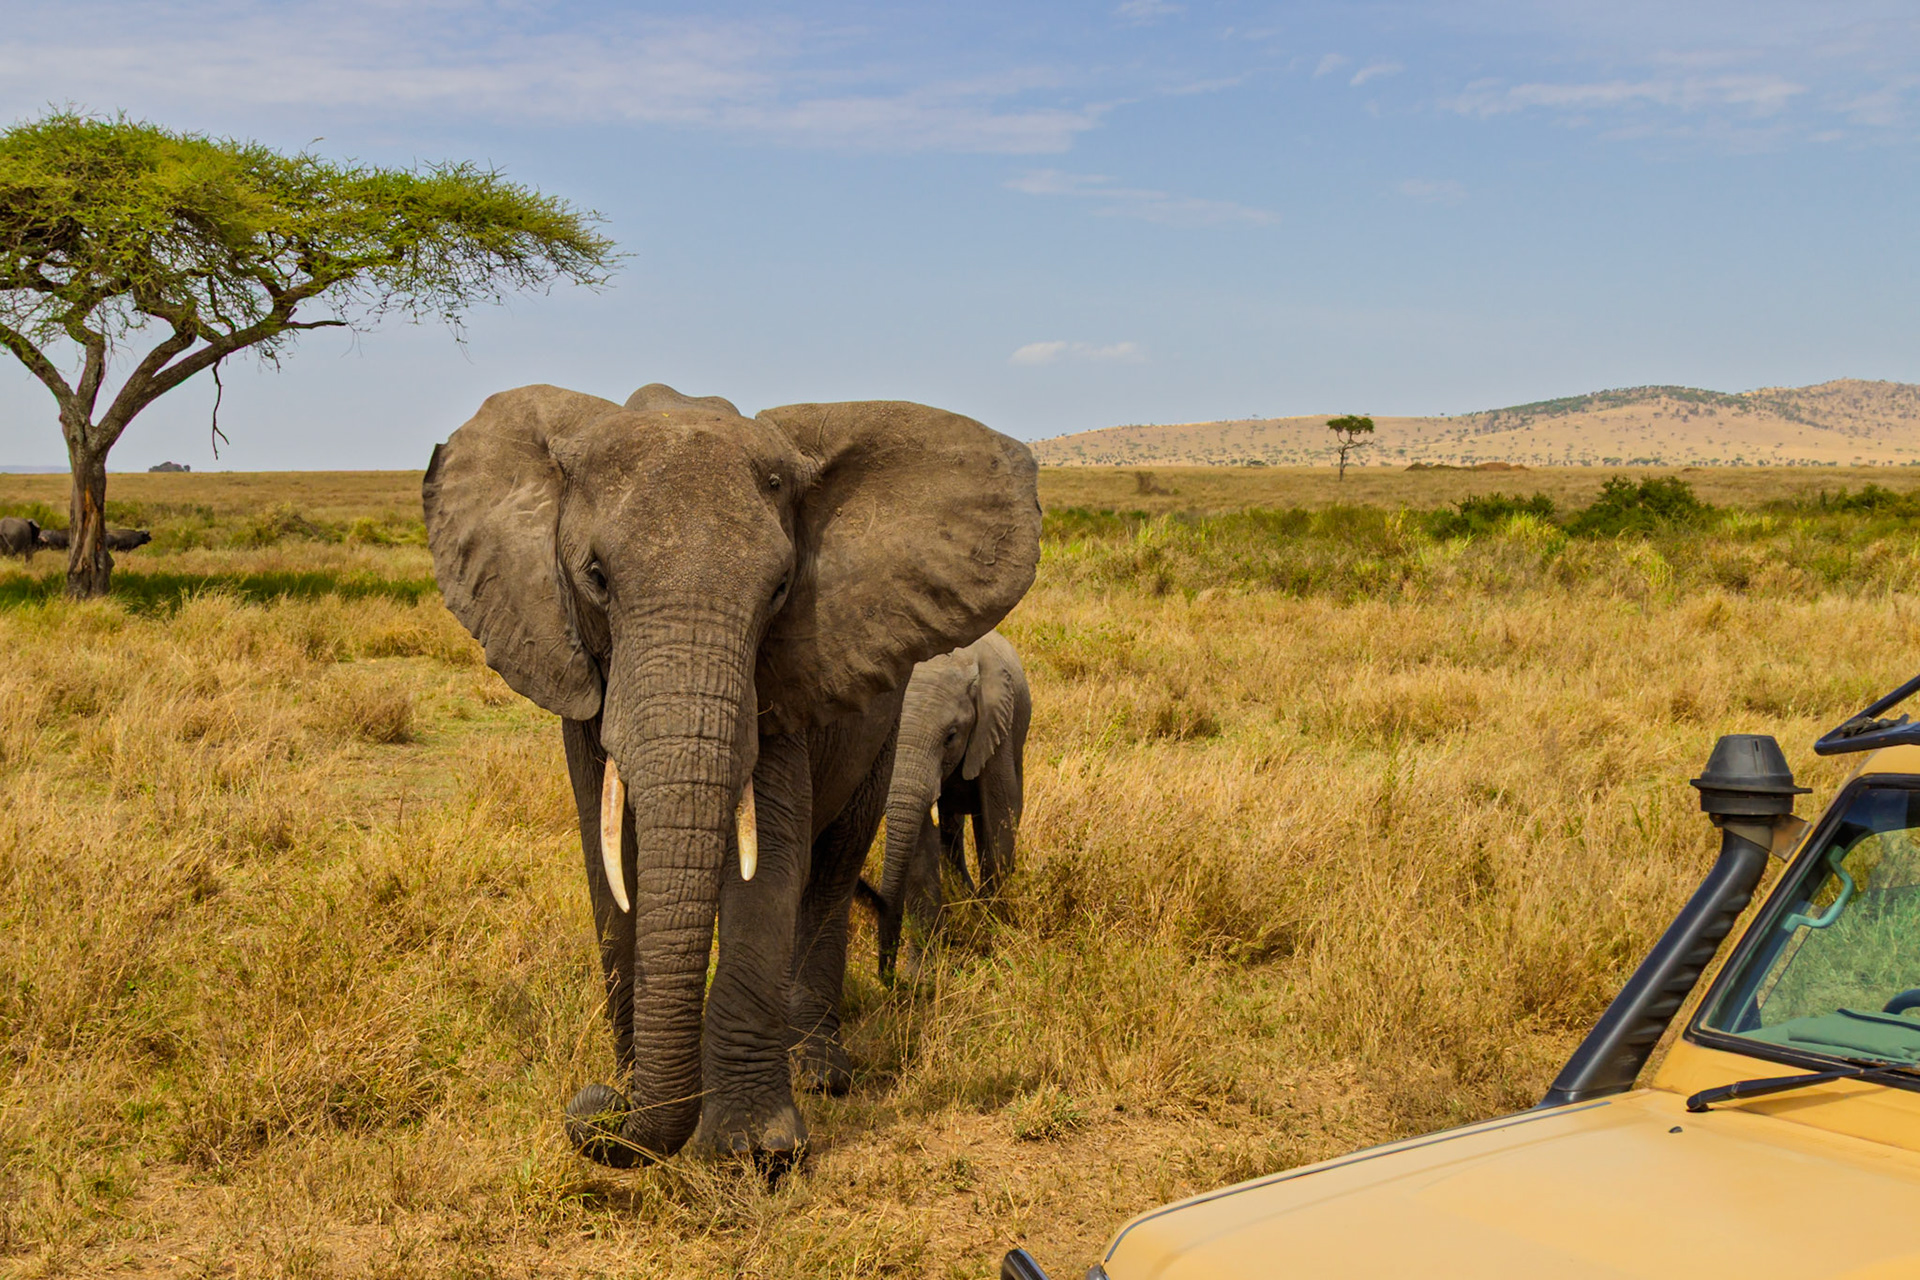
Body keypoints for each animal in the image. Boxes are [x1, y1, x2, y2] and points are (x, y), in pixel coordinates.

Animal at [862, 630, 1030, 979]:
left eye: (951, 736)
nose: (889, 977)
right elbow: (920, 850)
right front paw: (919, 977)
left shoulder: (997, 727)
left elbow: (998, 824)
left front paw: (991, 936)